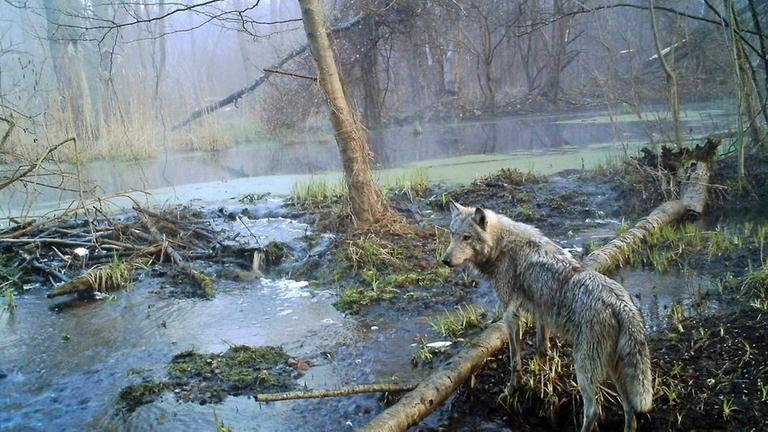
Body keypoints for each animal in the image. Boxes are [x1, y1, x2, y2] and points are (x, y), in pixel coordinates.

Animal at [440, 202, 652, 432]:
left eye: (467, 237)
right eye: (452, 234)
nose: (445, 260)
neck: (501, 246)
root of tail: (621, 304)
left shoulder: (510, 315)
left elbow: (514, 360)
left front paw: (512, 389)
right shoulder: (540, 313)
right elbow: (542, 347)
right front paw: (542, 377)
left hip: (585, 371)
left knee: (593, 411)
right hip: (615, 371)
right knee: (630, 411)